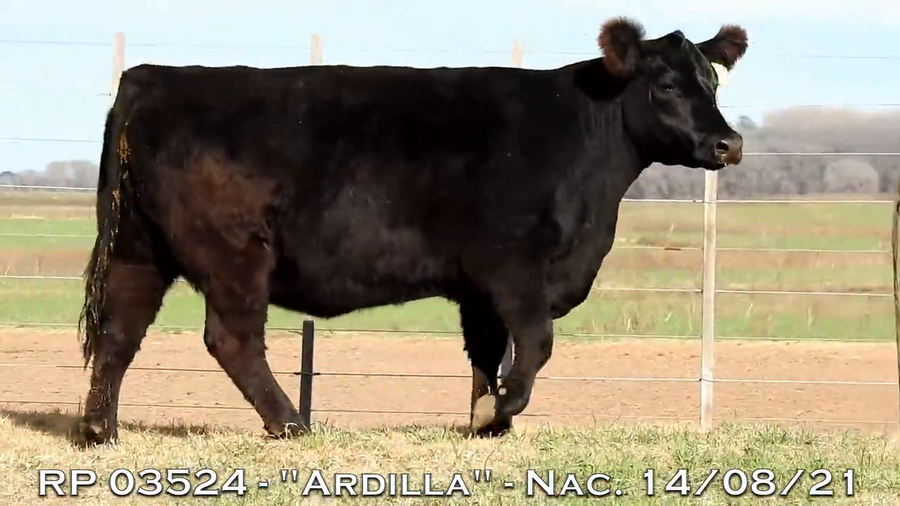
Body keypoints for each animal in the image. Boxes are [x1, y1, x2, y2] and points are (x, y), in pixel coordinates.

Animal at [75, 17, 748, 446]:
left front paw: (484, 421)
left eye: (713, 82)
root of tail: (153, 76)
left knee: (119, 330)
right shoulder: (513, 269)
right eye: (667, 85)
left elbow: (487, 352)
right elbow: (535, 343)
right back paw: (291, 424)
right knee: (231, 339)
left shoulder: (479, 289)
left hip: (139, 249)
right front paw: (502, 412)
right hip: (235, 255)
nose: (730, 143)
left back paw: (100, 430)